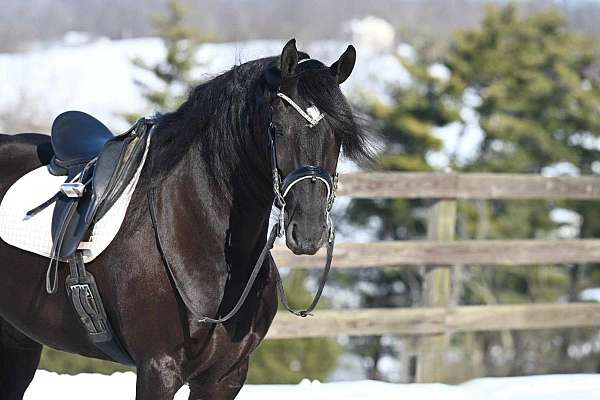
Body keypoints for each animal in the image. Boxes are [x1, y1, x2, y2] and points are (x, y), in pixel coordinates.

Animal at [1, 39, 370, 398]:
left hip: (18, 341)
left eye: (339, 135)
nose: (307, 231)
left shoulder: (225, 378)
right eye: (276, 129)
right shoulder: (159, 370)